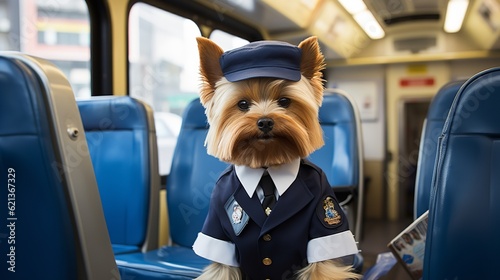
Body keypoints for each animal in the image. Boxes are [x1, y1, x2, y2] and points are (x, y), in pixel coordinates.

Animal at [191, 36, 360, 278]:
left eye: (284, 101)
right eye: (242, 104)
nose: (265, 121)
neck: (266, 166)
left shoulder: (323, 217)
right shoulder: (218, 230)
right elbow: (222, 269)